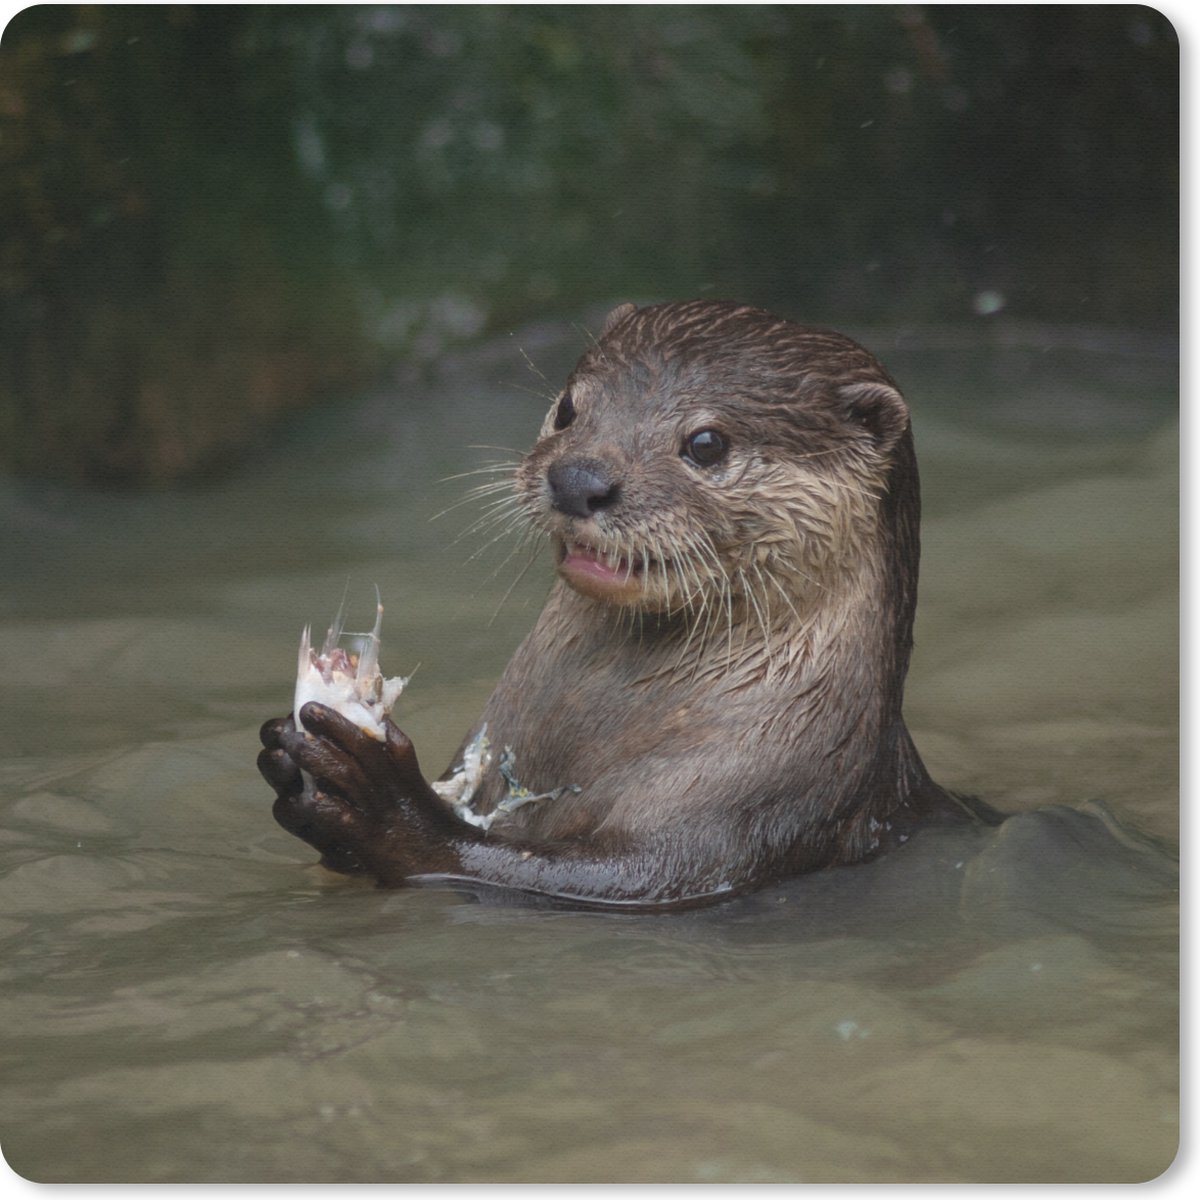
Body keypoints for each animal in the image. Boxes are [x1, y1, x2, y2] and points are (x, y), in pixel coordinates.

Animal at [258, 299, 969, 909]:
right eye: (570, 409)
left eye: (706, 443)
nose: (578, 479)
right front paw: (290, 765)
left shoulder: (756, 805)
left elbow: (598, 875)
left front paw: (385, 803)